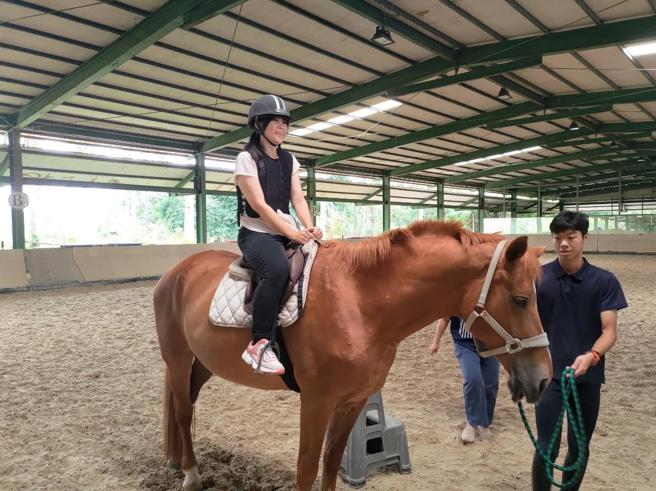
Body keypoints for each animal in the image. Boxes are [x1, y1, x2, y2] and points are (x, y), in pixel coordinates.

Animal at [154, 220, 552, 490]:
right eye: (520, 300)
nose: (544, 378)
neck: (360, 300)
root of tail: (177, 272)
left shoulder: (354, 400)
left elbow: (331, 462)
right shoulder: (317, 401)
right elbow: (307, 466)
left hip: (204, 362)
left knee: (187, 401)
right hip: (178, 358)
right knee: (183, 411)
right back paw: (190, 474)